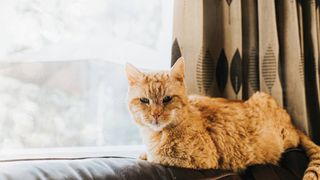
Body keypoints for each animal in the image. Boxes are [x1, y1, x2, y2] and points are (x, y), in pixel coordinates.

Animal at [125, 58, 320, 180]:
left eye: (167, 99)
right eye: (144, 101)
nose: (156, 114)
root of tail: (293, 124)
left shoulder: (201, 158)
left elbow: (157, 156)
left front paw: (146, 154)